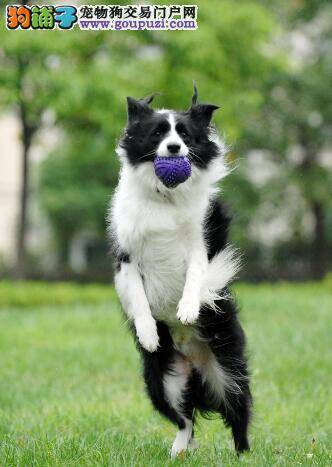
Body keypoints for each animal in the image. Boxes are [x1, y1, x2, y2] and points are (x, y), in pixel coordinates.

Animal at [109, 87, 252, 458]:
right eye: (158, 133)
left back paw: (243, 454)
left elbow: (196, 277)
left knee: (238, 410)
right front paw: (147, 333)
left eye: (185, 136)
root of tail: (195, 362)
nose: (174, 149)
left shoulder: (202, 245)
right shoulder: (126, 258)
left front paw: (187, 309)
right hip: (162, 381)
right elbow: (138, 298)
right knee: (183, 418)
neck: (166, 197)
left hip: (227, 371)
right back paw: (178, 450)